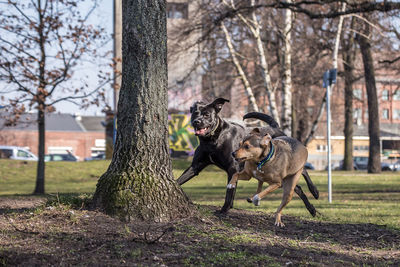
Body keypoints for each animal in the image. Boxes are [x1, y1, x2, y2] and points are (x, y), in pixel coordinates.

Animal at [176, 98, 318, 214]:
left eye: (206, 115)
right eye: (195, 113)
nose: (196, 121)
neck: (213, 139)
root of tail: (275, 127)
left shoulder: (233, 168)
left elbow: (229, 192)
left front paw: (224, 209)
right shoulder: (196, 166)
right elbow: (178, 181)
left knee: (303, 170)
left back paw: (314, 191)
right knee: (297, 188)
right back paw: (311, 209)